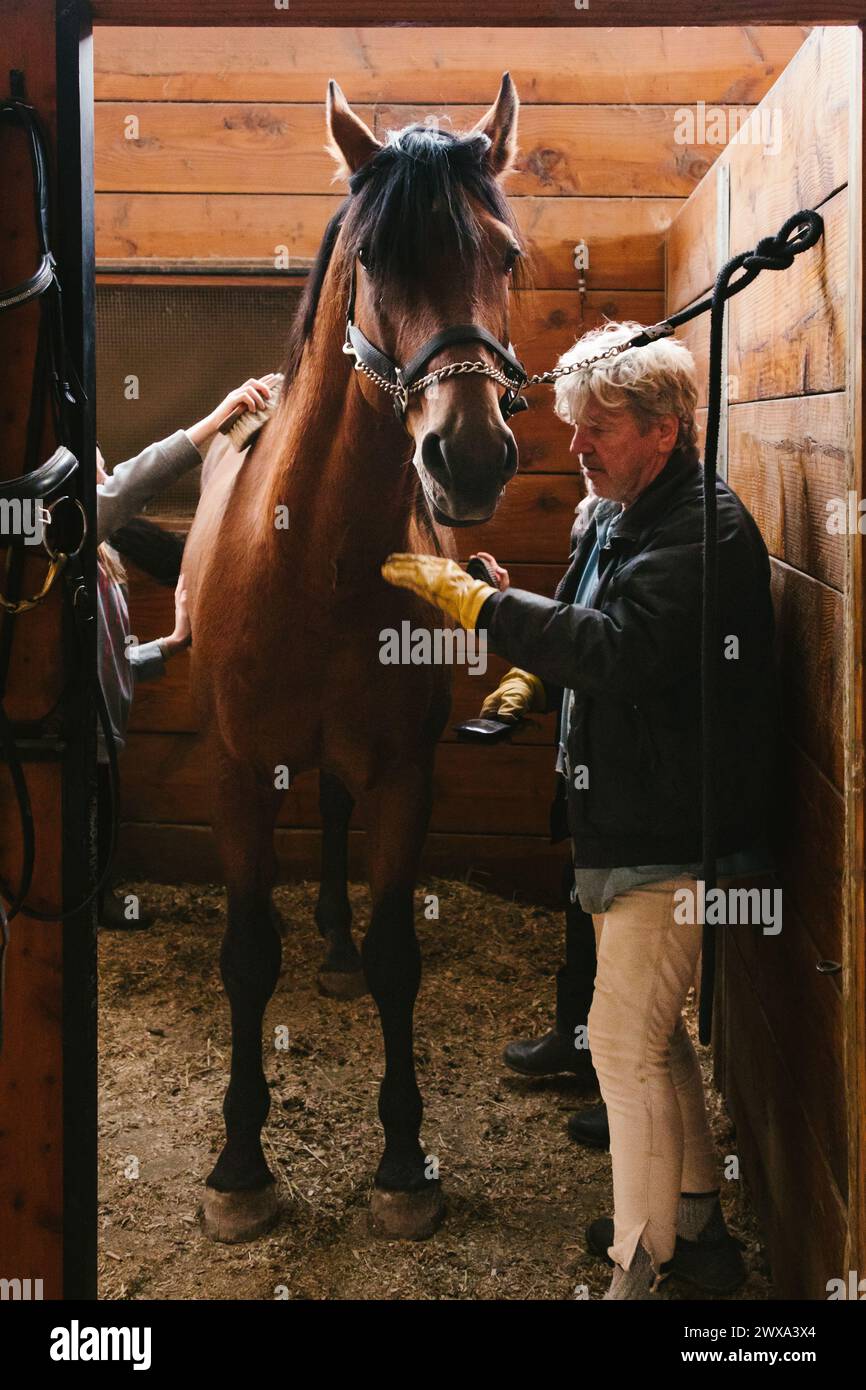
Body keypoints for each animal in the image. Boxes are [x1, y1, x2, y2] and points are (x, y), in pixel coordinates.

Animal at [184, 76, 528, 1245]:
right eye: (375, 255)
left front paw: (401, 1159)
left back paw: (330, 949)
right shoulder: (237, 770)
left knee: (332, 818)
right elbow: (247, 956)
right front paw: (240, 1164)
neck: (318, 557)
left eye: (505, 257)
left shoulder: (403, 774)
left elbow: (394, 957)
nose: (466, 456)